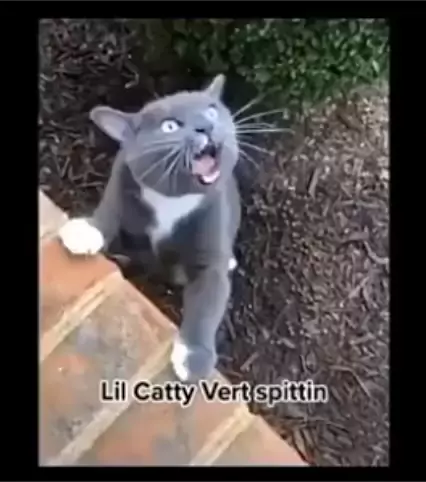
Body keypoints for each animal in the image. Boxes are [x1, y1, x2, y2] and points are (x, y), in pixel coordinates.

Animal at [58, 74, 241, 383]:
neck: (172, 200)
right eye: (170, 126)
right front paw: (87, 231)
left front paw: (194, 358)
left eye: (211, 111)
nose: (206, 126)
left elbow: (208, 300)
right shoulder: (122, 179)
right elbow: (111, 209)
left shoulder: (213, 227)